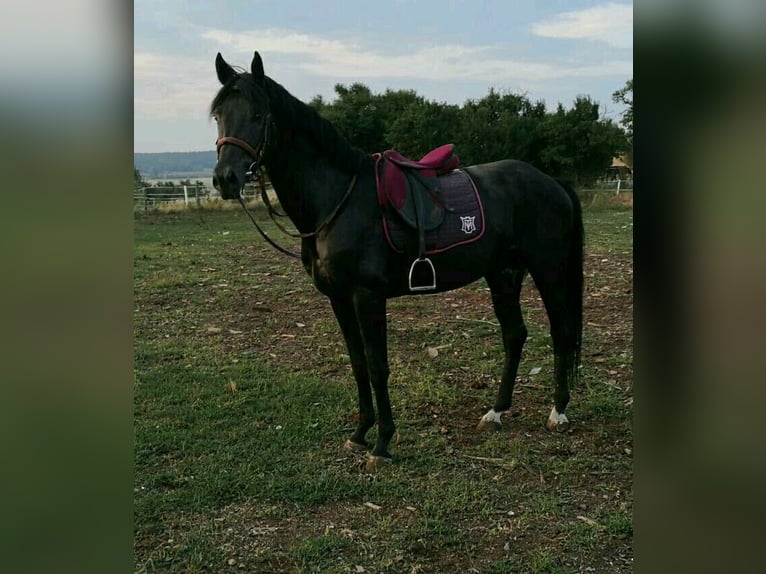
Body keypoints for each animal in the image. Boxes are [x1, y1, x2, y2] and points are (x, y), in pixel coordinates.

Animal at [211, 51, 584, 472]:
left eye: (259, 115)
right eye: (218, 114)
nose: (225, 178)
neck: (338, 200)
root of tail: (551, 181)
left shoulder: (367, 297)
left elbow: (377, 366)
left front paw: (382, 443)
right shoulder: (339, 299)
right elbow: (358, 363)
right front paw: (359, 434)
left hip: (548, 270)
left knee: (561, 331)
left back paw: (558, 411)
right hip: (503, 273)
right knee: (515, 335)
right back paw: (496, 412)